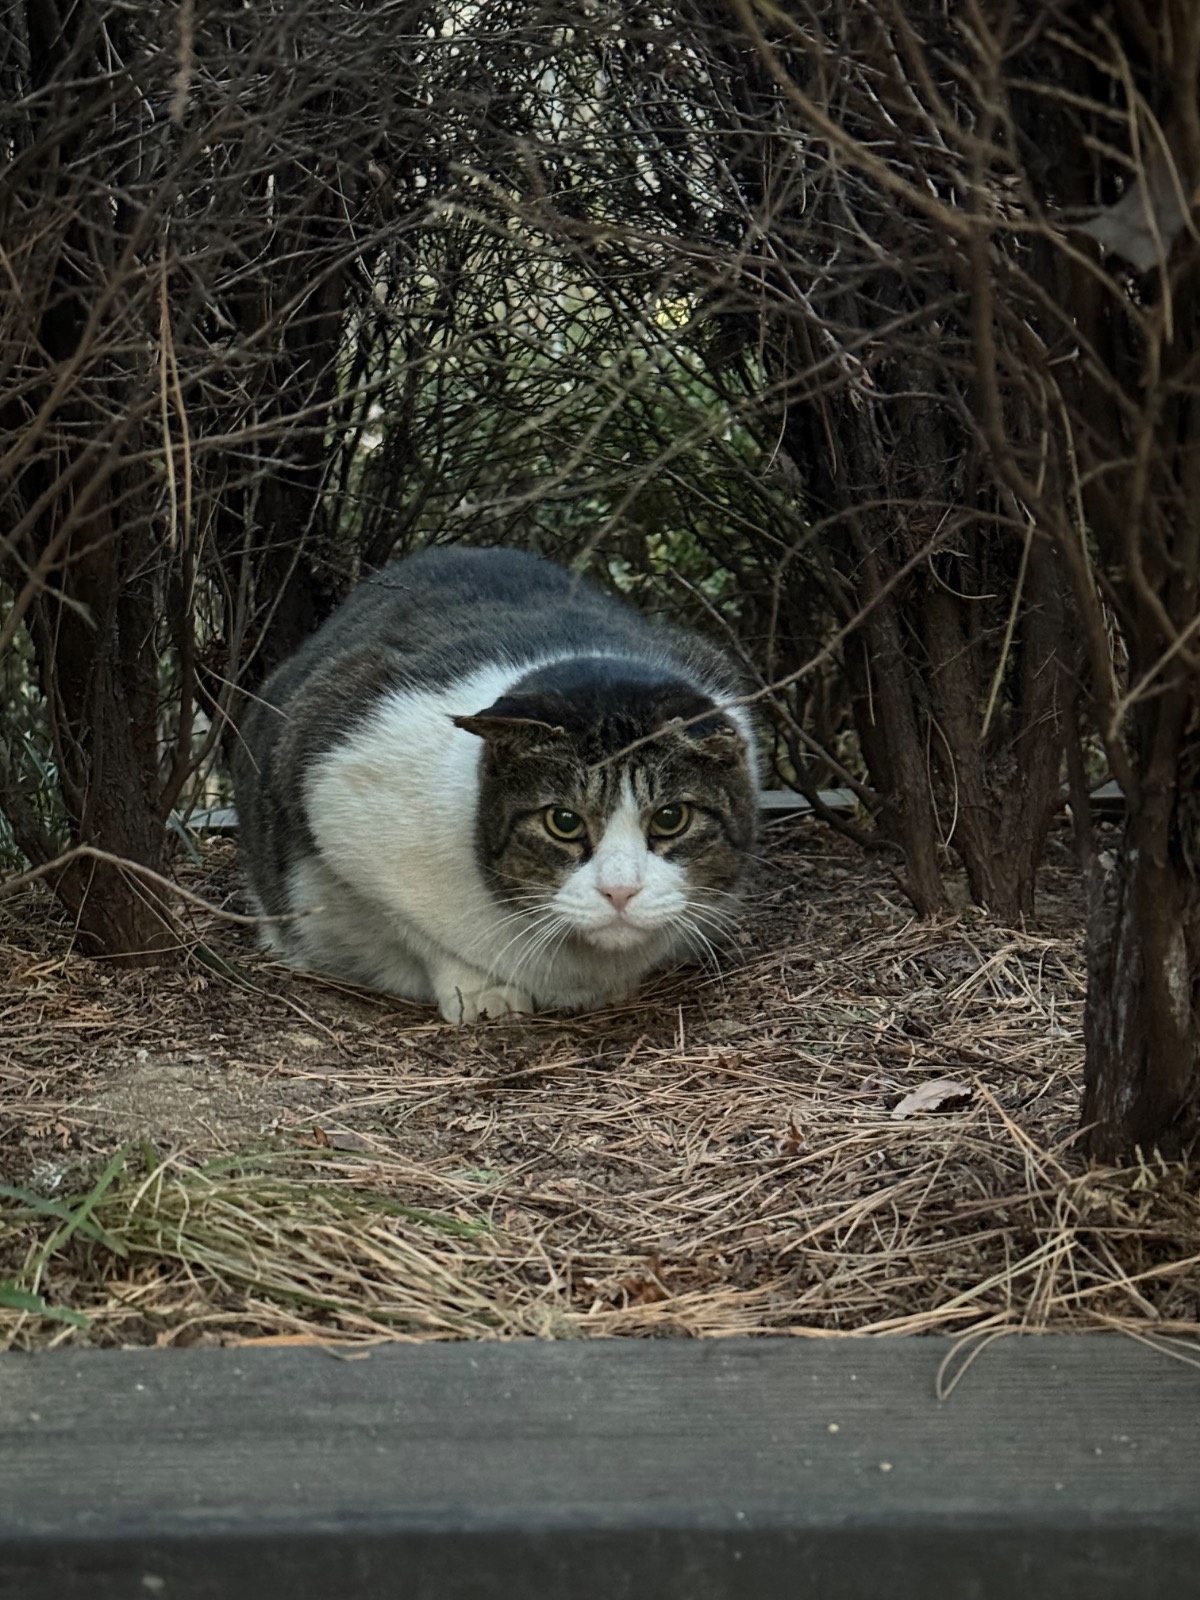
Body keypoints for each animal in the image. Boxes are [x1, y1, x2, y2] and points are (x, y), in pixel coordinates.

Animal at [235, 547, 761, 1024]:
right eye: (563, 822)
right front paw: (481, 991)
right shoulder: (336, 784)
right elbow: (418, 931)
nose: (619, 892)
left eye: (671, 818)